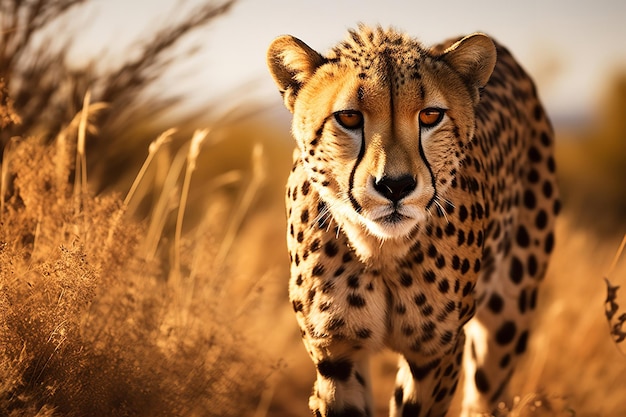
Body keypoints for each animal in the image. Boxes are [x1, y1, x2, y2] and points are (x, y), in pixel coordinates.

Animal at [266, 26, 560, 416]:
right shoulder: (337, 353)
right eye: (349, 118)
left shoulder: (437, 352)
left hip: (509, 317)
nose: (396, 185)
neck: (381, 249)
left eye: (430, 116)